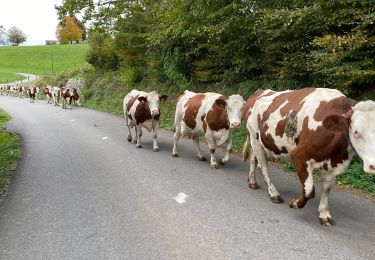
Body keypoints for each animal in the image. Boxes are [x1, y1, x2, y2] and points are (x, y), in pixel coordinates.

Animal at [242, 88, 375, 225]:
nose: (373, 166)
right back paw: (274, 194)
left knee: (253, 160)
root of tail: (260, 91)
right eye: (356, 131)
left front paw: (324, 213)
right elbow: (309, 190)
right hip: (254, 137)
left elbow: (327, 188)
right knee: (263, 166)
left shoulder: (333, 165)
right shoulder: (299, 156)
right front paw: (296, 203)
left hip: (255, 140)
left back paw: (252, 182)